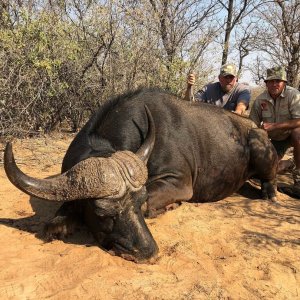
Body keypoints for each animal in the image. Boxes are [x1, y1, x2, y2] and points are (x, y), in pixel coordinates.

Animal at [4, 88, 278, 262]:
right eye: (102, 214)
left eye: (138, 203)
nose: (148, 252)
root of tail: (253, 129)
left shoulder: (179, 183)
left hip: (261, 150)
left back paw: (271, 194)